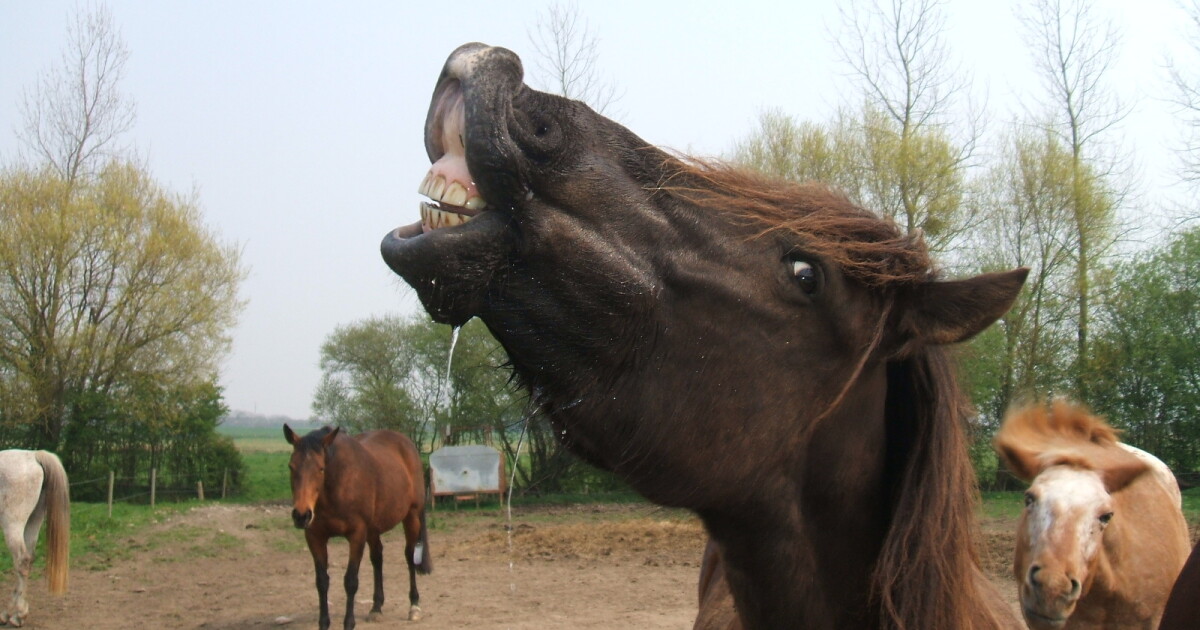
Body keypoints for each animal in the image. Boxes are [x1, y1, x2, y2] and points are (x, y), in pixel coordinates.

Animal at [0, 449, 69, 628]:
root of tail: (33, 456)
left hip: (13, 523)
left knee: (22, 561)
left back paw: (18, 615)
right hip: (34, 520)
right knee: (28, 559)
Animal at [283, 425, 431, 630]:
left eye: (321, 468)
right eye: (291, 467)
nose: (301, 515)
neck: (336, 486)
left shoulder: (357, 534)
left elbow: (351, 581)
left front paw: (349, 623)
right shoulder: (315, 537)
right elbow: (322, 581)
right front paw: (324, 623)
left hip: (411, 516)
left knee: (410, 557)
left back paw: (414, 606)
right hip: (374, 529)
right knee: (377, 558)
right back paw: (376, 607)